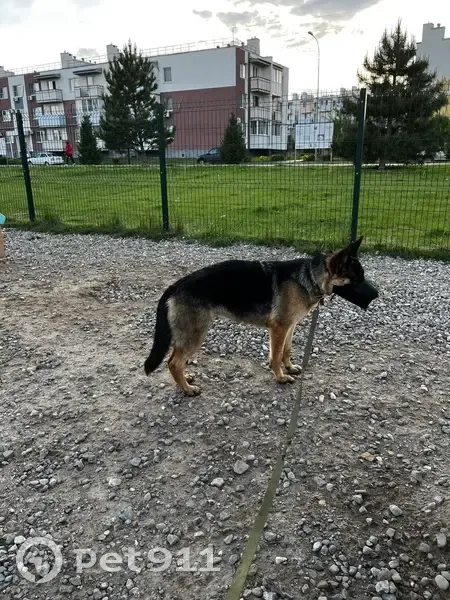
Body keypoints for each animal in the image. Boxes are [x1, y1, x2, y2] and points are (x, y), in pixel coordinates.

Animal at [144, 236, 365, 395]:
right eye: (356, 281)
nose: (373, 297)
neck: (310, 276)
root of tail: (176, 285)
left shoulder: (290, 326)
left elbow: (286, 351)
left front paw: (289, 367)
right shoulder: (279, 328)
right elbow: (276, 356)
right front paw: (280, 377)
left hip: (187, 335)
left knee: (174, 361)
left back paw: (186, 380)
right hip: (195, 336)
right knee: (173, 363)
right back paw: (187, 390)